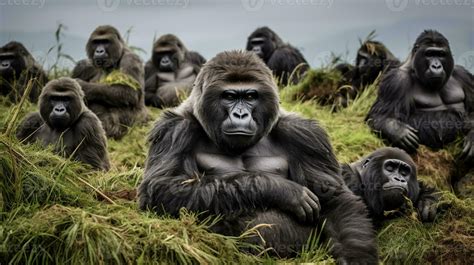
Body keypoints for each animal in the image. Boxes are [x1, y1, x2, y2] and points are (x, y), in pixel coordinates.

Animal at [137, 49, 378, 262]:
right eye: (229, 96)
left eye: (251, 96)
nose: (240, 114)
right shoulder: (174, 129)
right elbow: (163, 187)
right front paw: (278, 189)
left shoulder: (306, 135)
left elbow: (334, 200)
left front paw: (356, 257)